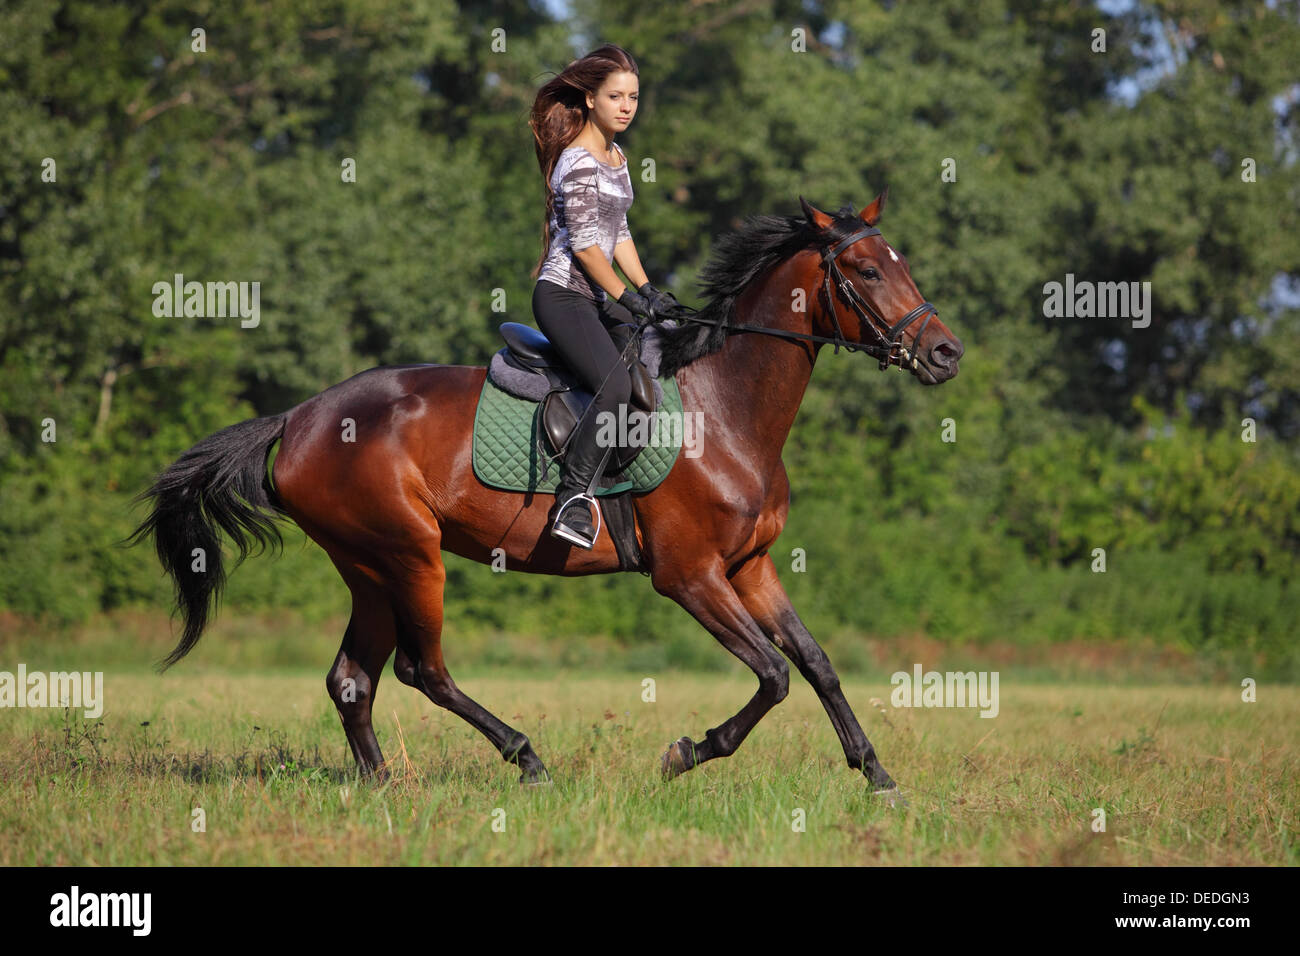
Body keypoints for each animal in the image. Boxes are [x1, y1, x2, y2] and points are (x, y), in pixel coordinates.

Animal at [131, 188, 961, 801]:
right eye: (866, 270)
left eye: (900, 262)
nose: (946, 353)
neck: (724, 410)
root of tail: (300, 417)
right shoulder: (689, 576)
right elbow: (773, 674)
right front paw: (687, 752)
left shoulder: (749, 568)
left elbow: (816, 664)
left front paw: (877, 775)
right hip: (410, 555)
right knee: (421, 671)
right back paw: (526, 758)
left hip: (366, 566)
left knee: (352, 680)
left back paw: (382, 785)